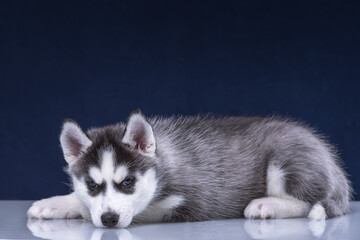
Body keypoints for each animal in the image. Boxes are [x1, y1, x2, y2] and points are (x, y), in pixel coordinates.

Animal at [27, 110, 352, 227]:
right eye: (92, 185)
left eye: (128, 182)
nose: (108, 220)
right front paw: (56, 203)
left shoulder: (195, 202)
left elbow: (142, 210)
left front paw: (79, 210)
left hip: (286, 161)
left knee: (310, 201)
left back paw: (266, 205)